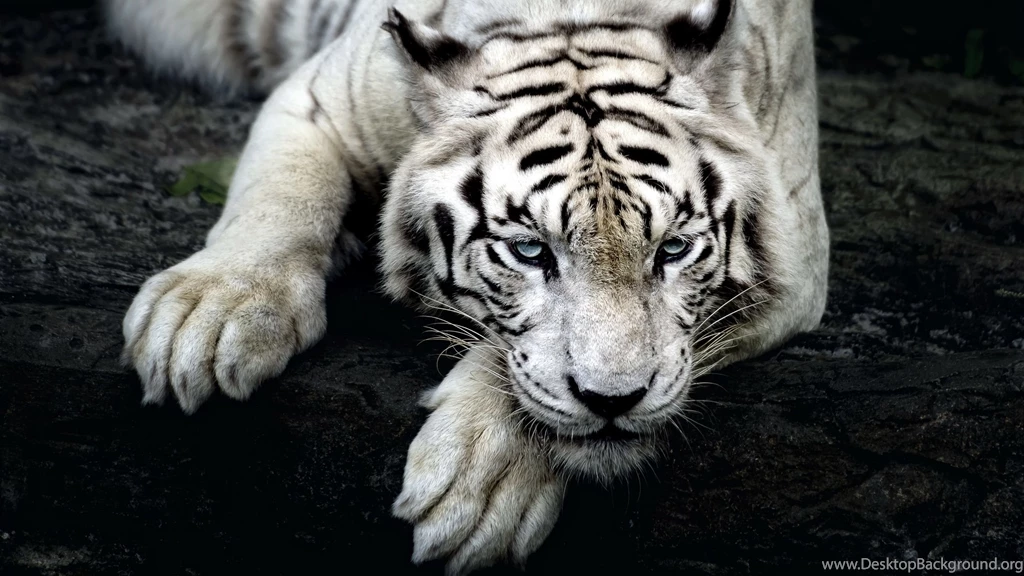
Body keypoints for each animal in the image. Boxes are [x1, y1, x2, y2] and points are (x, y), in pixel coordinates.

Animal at [108, 0, 828, 572]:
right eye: (530, 250)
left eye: (673, 249)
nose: (614, 400)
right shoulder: (317, 99)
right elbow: (279, 199)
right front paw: (206, 318)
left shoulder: (797, 254)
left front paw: (480, 482)